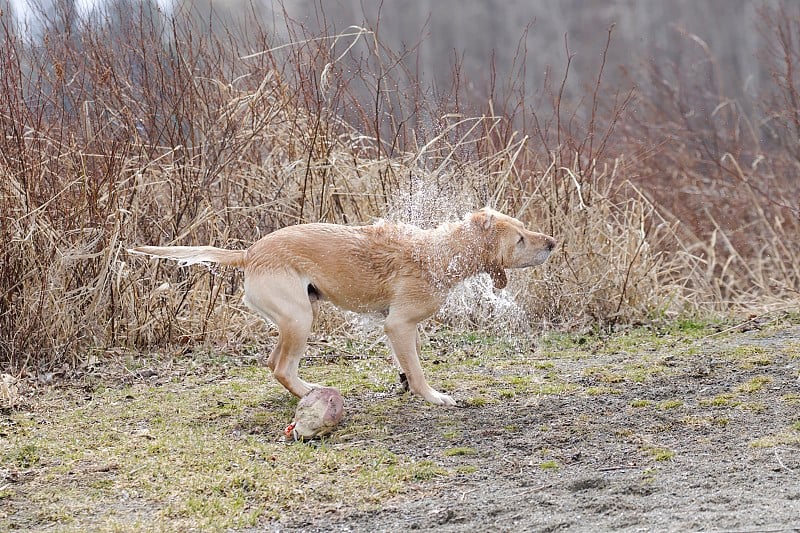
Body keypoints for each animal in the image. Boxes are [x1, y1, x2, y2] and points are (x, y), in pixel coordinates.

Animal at [131, 207, 556, 404]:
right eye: (520, 239)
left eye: (524, 228)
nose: (552, 242)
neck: (442, 253)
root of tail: (249, 253)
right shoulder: (399, 325)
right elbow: (418, 370)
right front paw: (433, 397)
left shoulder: (397, 328)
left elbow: (407, 363)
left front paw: (404, 382)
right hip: (300, 318)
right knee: (281, 367)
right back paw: (308, 394)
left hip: (295, 317)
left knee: (274, 363)